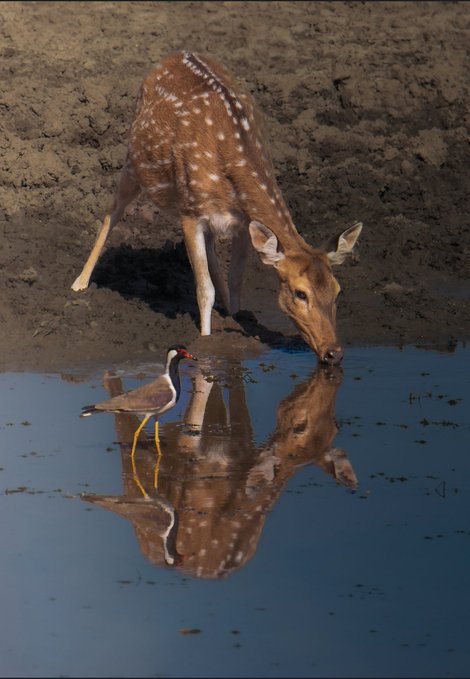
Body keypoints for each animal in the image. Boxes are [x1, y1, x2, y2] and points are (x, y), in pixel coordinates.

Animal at [71, 50, 363, 365]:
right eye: (300, 293)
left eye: (337, 290)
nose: (334, 352)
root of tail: (176, 54)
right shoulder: (190, 214)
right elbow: (203, 289)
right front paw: (206, 343)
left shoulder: (243, 222)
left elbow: (235, 279)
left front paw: (234, 319)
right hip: (133, 164)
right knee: (112, 212)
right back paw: (80, 283)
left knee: (210, 250)